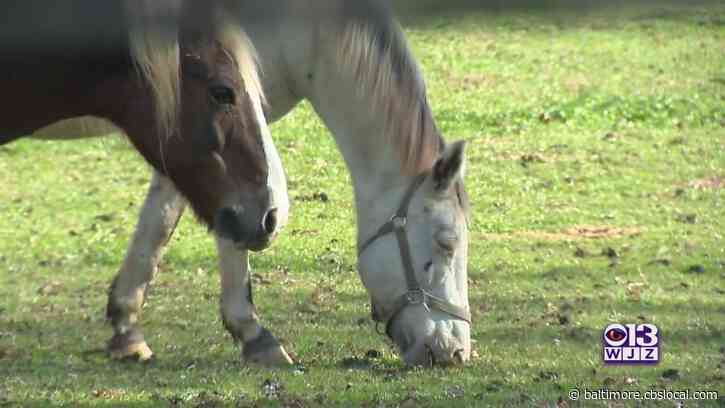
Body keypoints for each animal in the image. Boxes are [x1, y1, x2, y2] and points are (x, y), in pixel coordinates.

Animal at [34, 0, 472, 367]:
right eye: (446, 243)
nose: (454, 350)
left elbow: (160, 220)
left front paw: (126, 327)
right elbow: (233, 226)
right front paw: (253, 334)